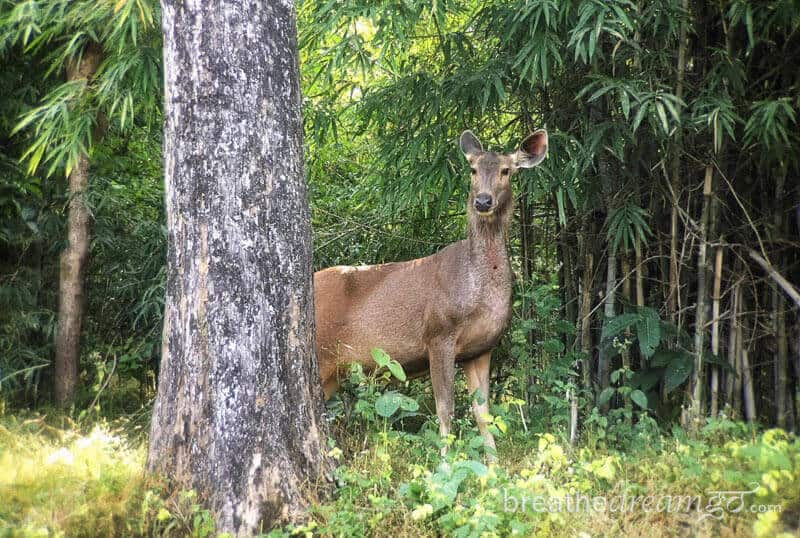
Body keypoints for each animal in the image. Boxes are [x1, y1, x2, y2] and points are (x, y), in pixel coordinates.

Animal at [316, 127, 548, 454]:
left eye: (506, 170)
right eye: (472, 169)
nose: (483, 201)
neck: (477, 292)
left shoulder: (481, 349)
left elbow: (483, 413)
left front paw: (493, 462)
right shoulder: (438, 334)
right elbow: (445, 408)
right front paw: (445, 458)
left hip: (335, 370)